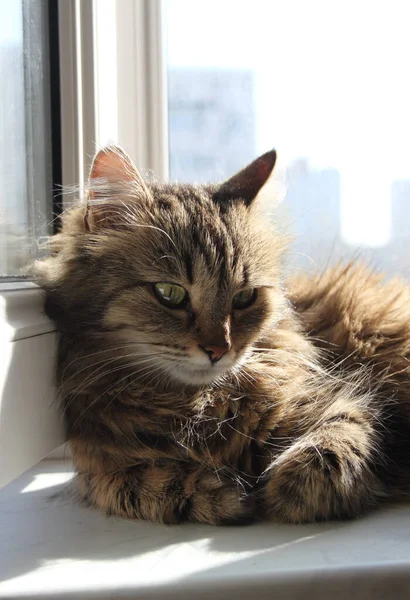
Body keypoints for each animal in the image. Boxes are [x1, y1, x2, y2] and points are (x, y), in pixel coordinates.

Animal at [34, 145, 410, 524]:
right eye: (169, 293)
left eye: (244, 298)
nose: (219, 349)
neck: (196, 406)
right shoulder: (99, 463)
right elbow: (134, 487)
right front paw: (223, 492)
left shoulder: (341, 399)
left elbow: (338, 439)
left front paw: (288, 487)